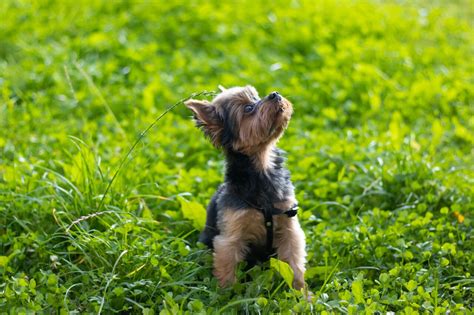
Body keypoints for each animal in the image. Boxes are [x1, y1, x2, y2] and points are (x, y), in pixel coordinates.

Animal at [185, 85, 308, 290]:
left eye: (257, 97)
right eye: (249, 108)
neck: (262, 167)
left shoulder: (289, 228)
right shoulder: (229, 239)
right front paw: (227, 295)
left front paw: (301, 294)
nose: (274, 94)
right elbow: (227, 273)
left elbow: (294, 267)